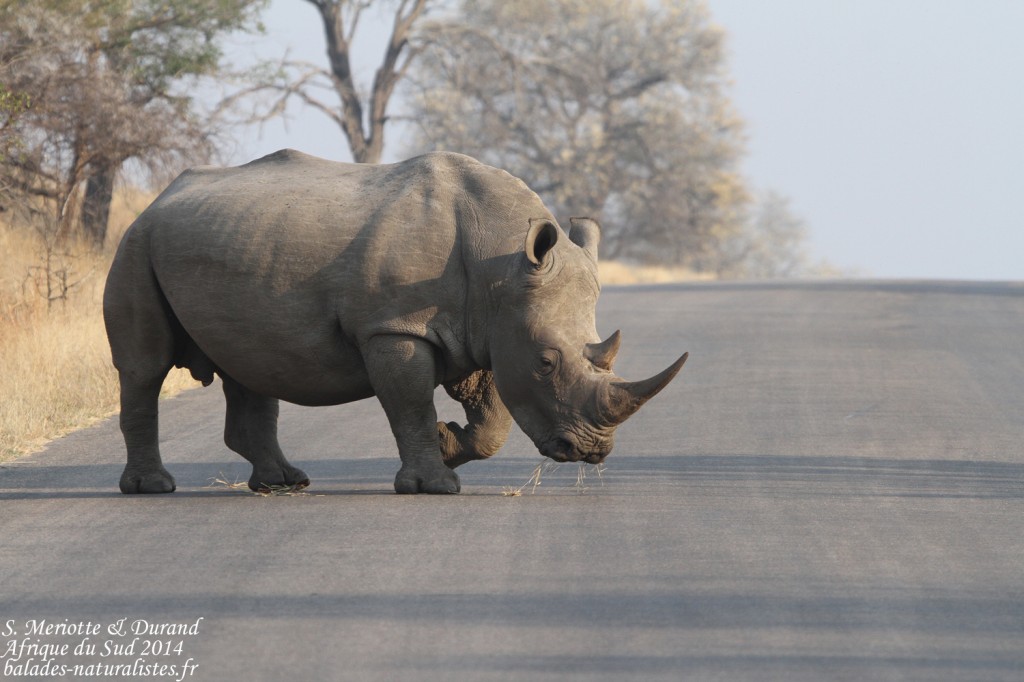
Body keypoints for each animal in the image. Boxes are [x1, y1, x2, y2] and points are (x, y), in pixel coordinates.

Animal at [103, 150, 687, 495]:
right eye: (546, 362)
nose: (590, 452)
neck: (500, 261)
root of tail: (157, 199)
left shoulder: (490, 324)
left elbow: (492, 420)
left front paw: (450, 441)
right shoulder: (396, 325)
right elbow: (408, 403)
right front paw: (434, 483)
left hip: (225, 239)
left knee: (250, 367)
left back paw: (284, 484)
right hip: (136, 245)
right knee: (144, 368)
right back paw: (153, 488)